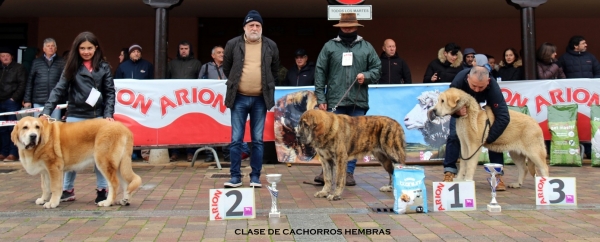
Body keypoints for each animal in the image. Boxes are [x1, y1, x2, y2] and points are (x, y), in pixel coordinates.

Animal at [10, 116, 142, 208]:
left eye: (37, 127)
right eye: (25, 127)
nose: (33, 136)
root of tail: (124, 128)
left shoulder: (54, 167)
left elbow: (54, 187)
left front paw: (52, 203)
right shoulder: (45, 171)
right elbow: (45, 187)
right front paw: (43, 199)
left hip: (104, 162)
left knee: (114, 183)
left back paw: (107, 202)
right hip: (119, 165)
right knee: (127, 183)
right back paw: (125, 200)